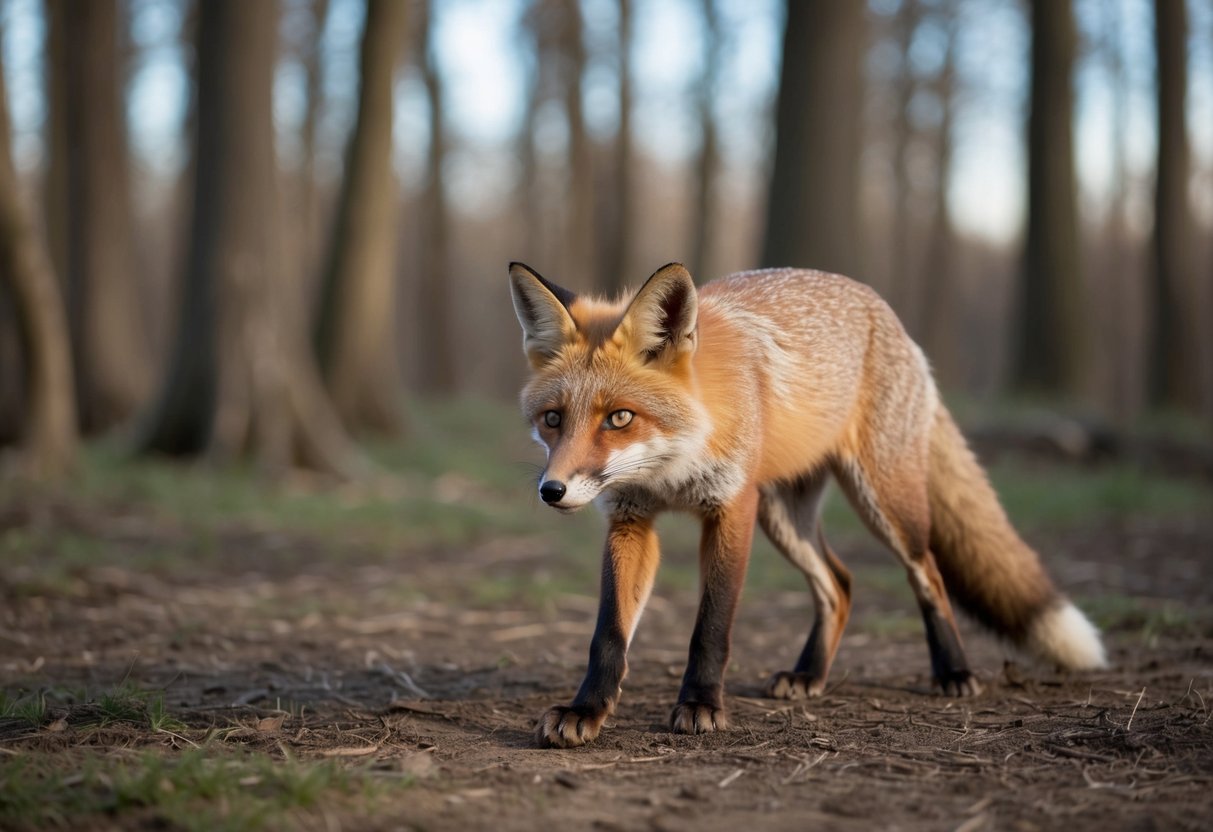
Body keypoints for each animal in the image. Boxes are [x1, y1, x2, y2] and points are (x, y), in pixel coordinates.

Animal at [509, 261, 1107, 749]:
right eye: (554, 419)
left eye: (619, 418)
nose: (552, 491)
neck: (670, 469)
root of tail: (885, 312)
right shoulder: (631, 520)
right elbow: (608, 633)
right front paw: (586, 710)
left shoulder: (731, 510)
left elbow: (712, 625)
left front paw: (700, 704)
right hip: (785, 517)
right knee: (839, 585)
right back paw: (809, 676)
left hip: (883, 503)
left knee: (929, 573)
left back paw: (953, 672)